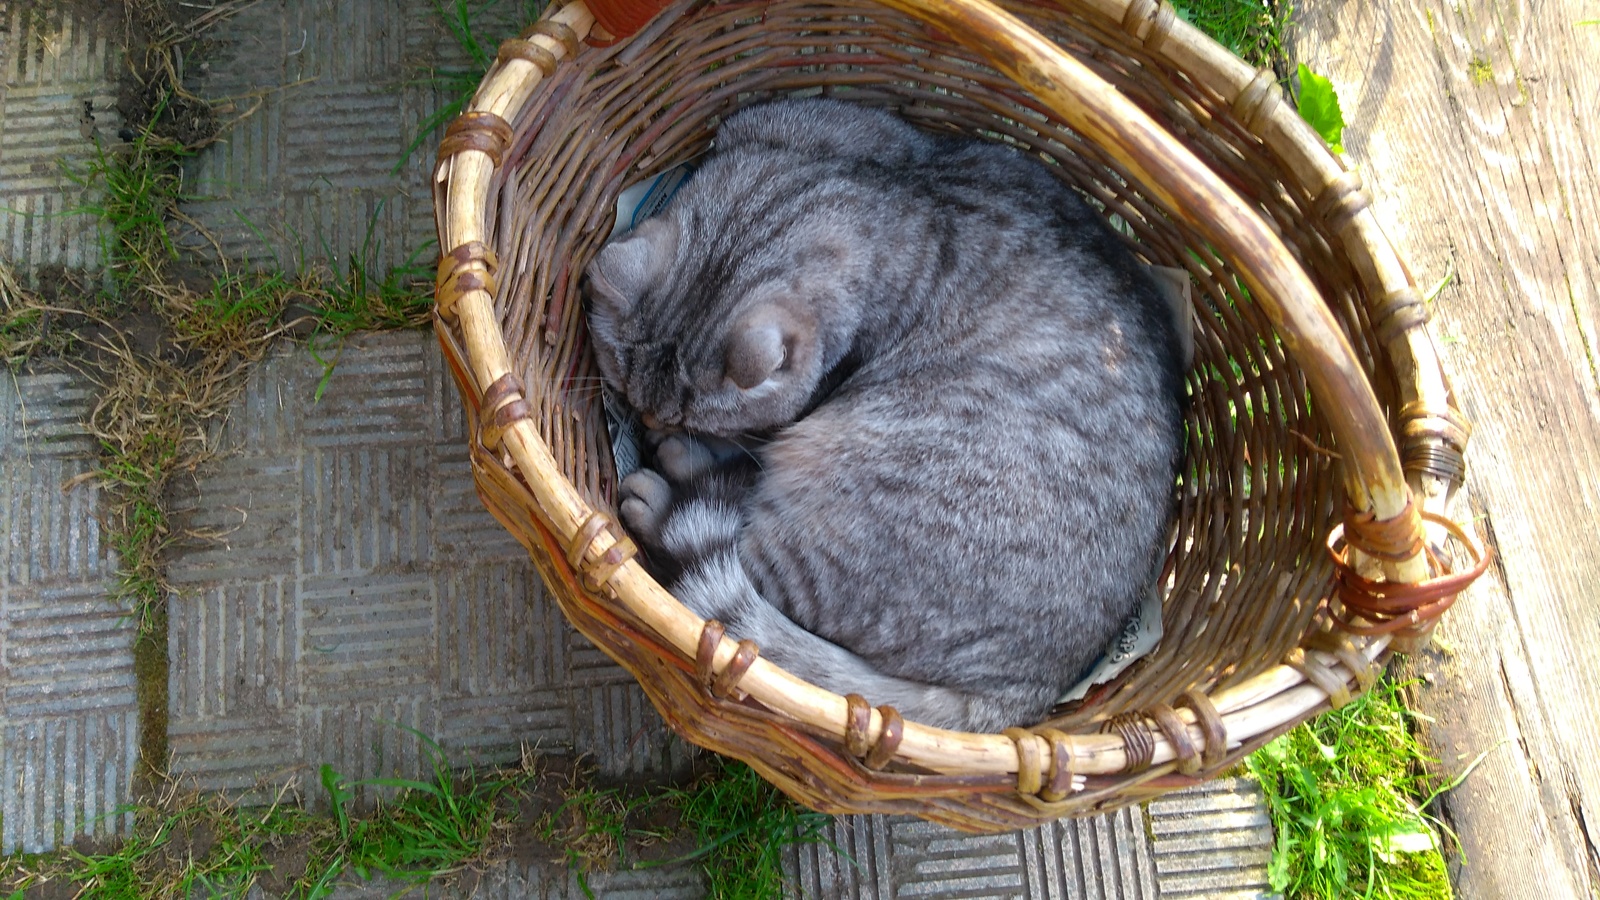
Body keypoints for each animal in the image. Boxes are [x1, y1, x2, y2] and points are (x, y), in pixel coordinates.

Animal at [588, 98, 1190, 733]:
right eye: (624, 394)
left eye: (696, 419)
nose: (650, 424)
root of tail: (1019, 694)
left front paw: (691, 448)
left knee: (743, 564)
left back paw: (663, 491)